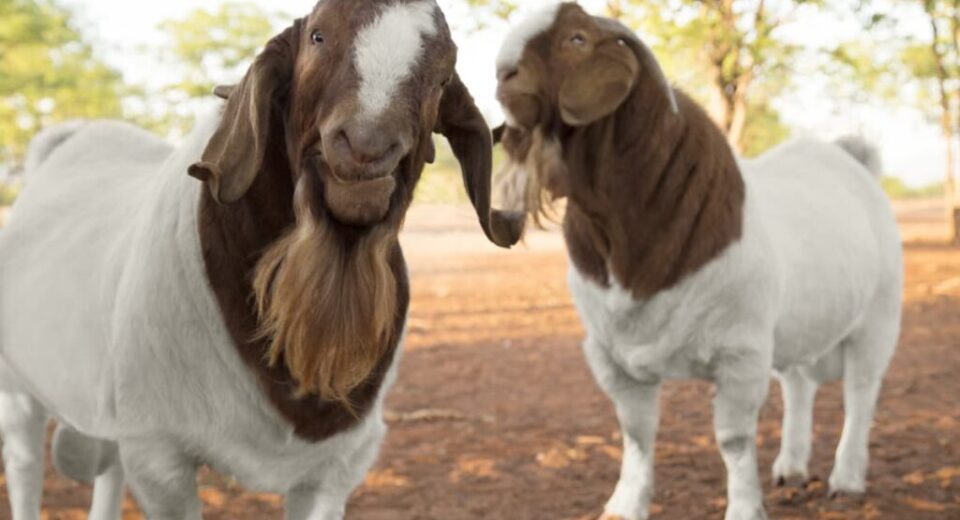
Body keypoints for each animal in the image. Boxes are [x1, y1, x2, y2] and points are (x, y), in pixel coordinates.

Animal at [0, 1, 522, 518]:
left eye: (443, 75)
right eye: (317, 37)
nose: (366, 146)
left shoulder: (338, 467)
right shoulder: (159, 454)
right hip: (19, 393)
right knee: (27, 469)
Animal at [494, 4, 903, 520]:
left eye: (577, 39)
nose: (503, 75)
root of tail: (852, 159)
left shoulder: (740, 353)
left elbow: (733, 440)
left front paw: (745, 509)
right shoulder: (611, 357)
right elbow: (636, 433)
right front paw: (623, 505)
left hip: (878, 320)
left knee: (861, 392)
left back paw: (846, 480)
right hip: (795, 325)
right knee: (798, 386)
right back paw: (791, 467)